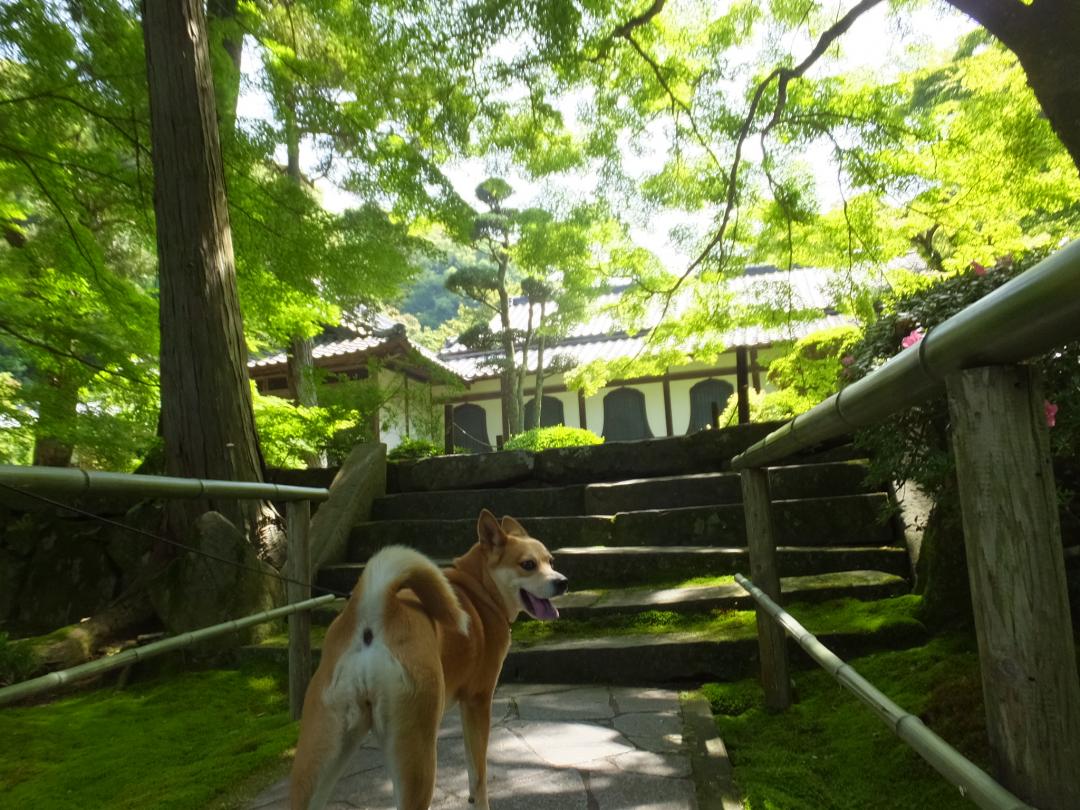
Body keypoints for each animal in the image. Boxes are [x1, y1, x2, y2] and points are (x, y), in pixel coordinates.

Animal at [291, 509, 570, 807]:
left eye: (551, 561)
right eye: (528, 564)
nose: (562, 582)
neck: (480, 589)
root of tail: (376, 609)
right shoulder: (477, 702)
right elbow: (478, 774)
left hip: (322, 753)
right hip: (418, 750)